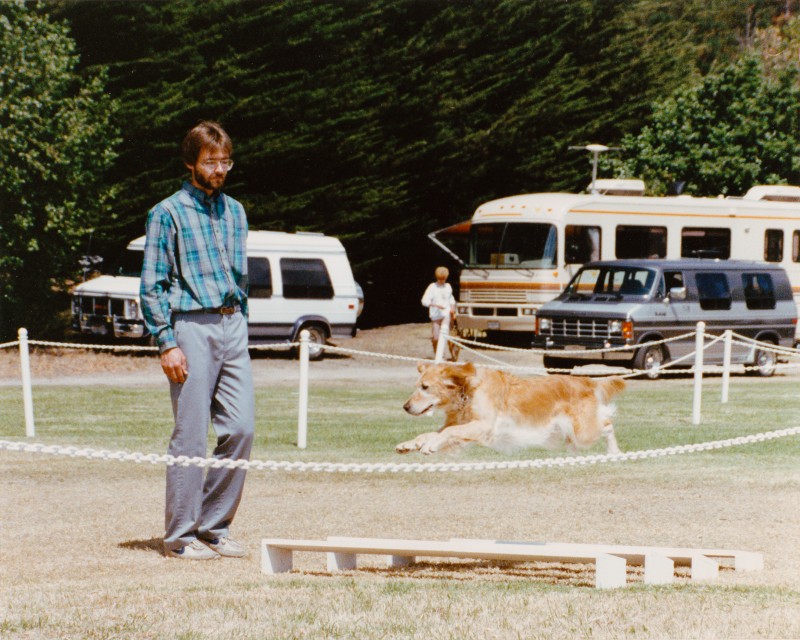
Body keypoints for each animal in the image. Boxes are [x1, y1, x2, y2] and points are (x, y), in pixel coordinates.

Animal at [396, 362, 628, 458]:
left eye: (425, 387)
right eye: (417, 385)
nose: (405, 407)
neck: (467, 391)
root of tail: (586, 380)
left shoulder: (484, 426)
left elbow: (447, 433)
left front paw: (430, 446)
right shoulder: (461, 423)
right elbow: (431, 433)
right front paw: (409, 444)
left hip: (583, 431)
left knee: (607, 423)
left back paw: (613, 451)